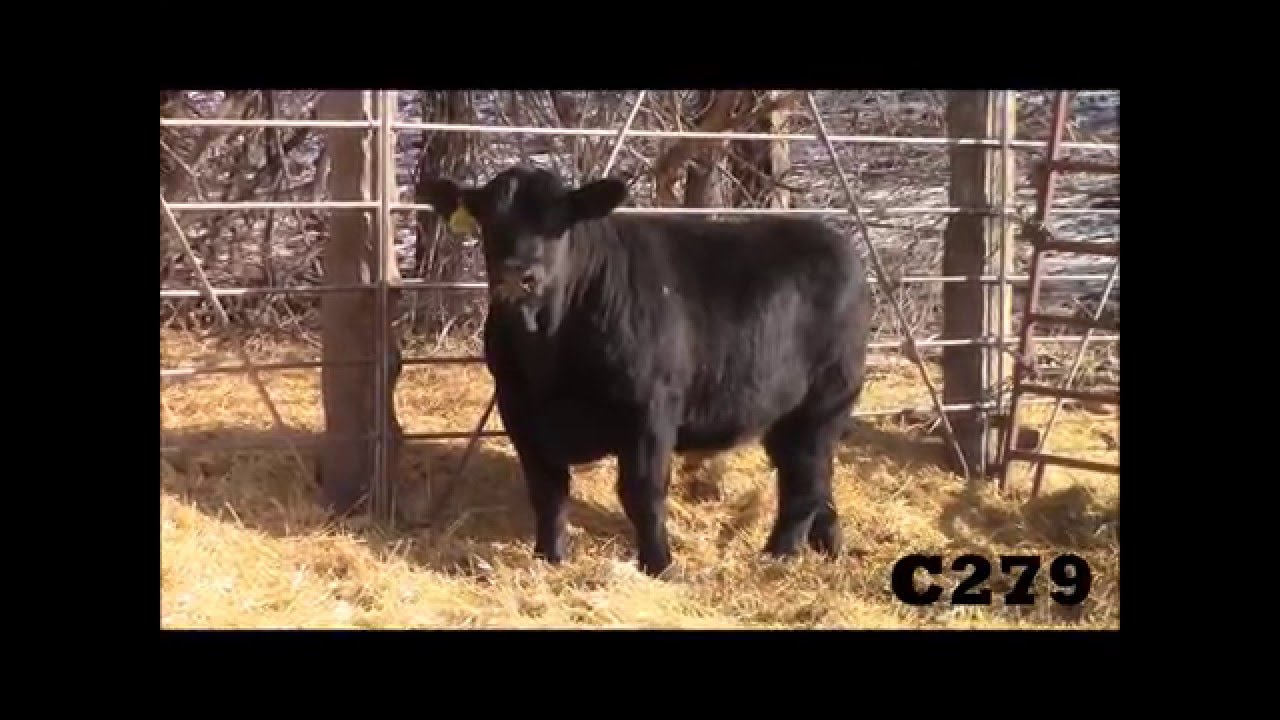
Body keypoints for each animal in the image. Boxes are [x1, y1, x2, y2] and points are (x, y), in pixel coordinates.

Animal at [418, 164, 873, 578]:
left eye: (557, 222)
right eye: (488, 220)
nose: (517, 276)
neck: (548, 352)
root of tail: (836, 242)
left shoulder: (649, 411)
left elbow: (642, 492)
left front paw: (659, 566)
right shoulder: (520, 413)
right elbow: (547, 492)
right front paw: (549, 559)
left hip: (823, 403)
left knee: (803, 481)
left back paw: (777, 558)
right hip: (785, 413)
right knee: (815, 477)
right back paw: (830, 547)